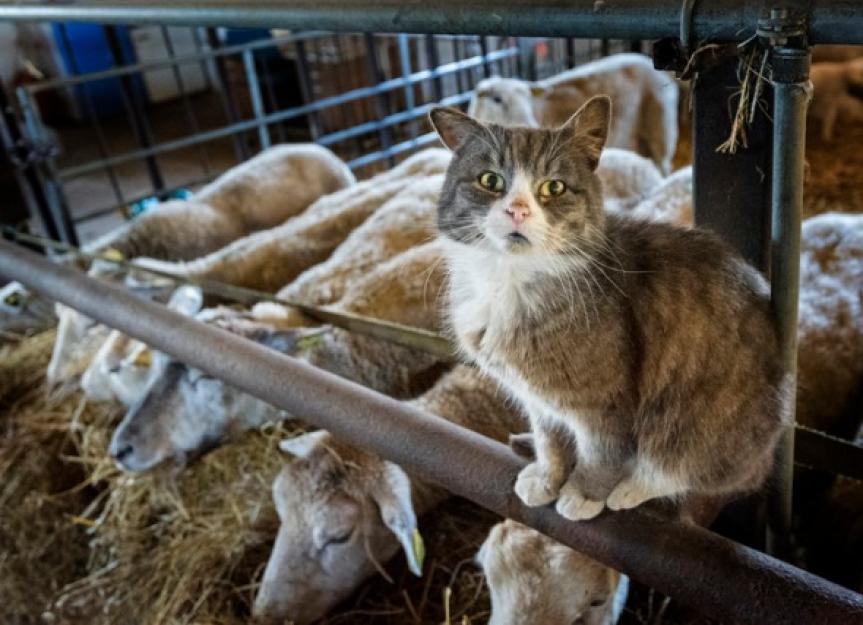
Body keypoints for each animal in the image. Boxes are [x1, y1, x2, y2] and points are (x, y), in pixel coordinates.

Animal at [428, 96, 792, 516]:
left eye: (553, 187)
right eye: (490, 181)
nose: (518, 210)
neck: (511, 280)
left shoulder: (605, 402)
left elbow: (602, 453)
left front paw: (584, 494)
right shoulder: (540, 400)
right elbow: (550, 441)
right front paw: (547, 479)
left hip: (700, 427)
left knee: (697, 468)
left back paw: (631, 487)